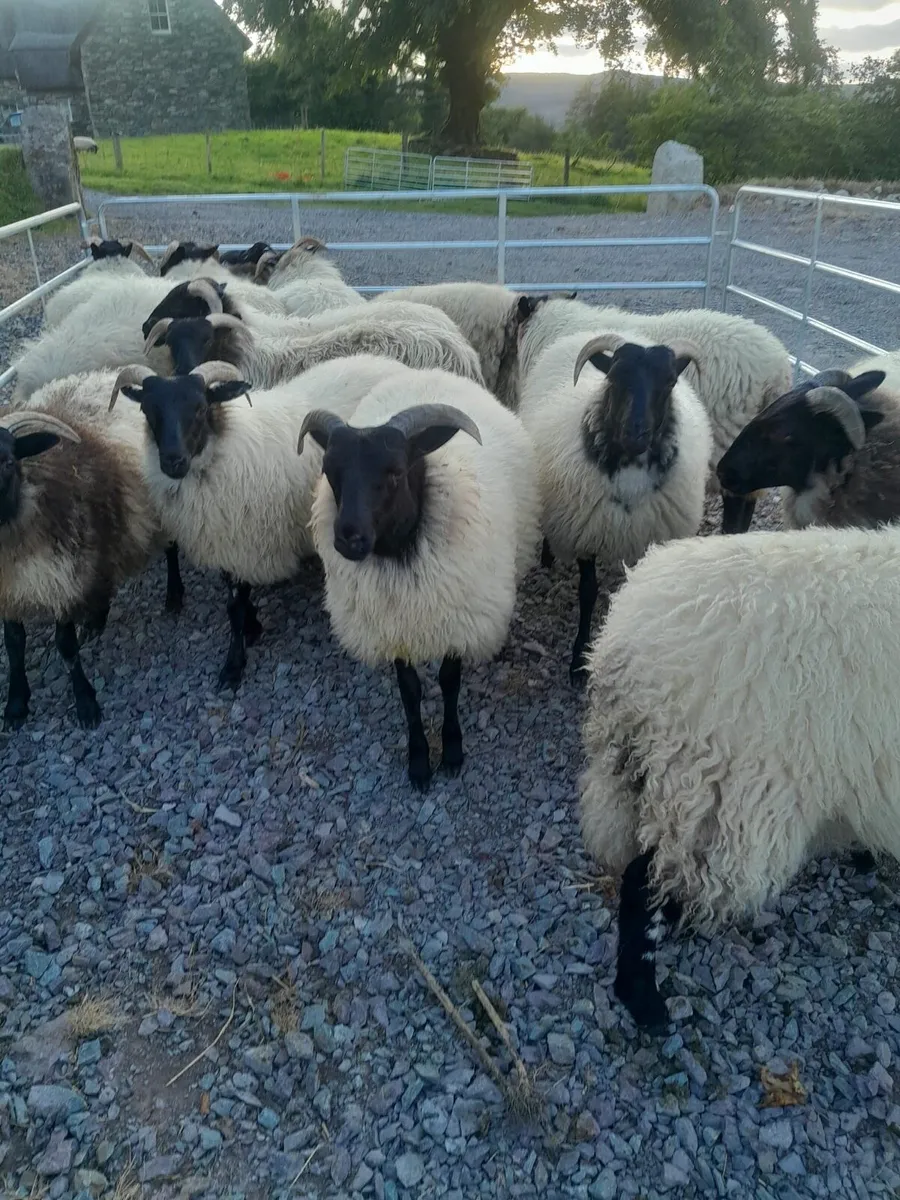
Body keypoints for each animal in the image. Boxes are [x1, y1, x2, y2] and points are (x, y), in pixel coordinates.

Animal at [0, 407, 163, 730]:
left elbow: (66, 647)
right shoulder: (9, 591)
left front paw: (86, 703)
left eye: (9, 462)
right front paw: (16, 704)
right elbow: (14, 646)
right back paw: (96, 620)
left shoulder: (63, 580)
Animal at [106, 355, 403, 688]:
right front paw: (251, 627)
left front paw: (234, 662)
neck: (219, 453)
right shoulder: (224, 541)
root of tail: (391, 363)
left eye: (200, 408)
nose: (173, 462)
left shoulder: (246, 542)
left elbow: (234, 607)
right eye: (147, 410)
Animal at [300, 365, 541, 790]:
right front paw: (418, 761)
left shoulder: (458, 619)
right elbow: (409, 692)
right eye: (329, 471)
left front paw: (453, 751)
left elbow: (448, 681)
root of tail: (431, 371)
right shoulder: (393, 625)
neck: (401, 557)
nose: (348, 538)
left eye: (396, 472)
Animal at [517, 330, 712, 683]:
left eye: (670, 381)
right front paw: (579, 659)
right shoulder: (585, 531)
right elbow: (588, 592)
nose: (637, 433)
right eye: (615, 376)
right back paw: (548, 557)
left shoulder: (644, 538)